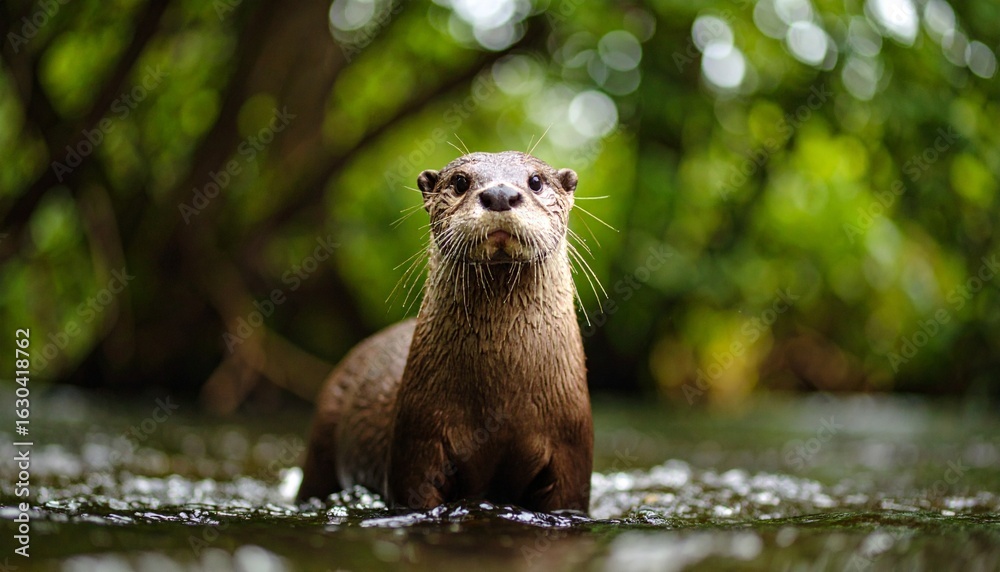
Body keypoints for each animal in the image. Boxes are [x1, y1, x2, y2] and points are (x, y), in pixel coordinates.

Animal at [297, 151, 592, 512]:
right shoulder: (417, 443)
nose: (500, 194)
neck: (503, 399)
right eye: (460, 181)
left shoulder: (571, 453)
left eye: (536, 181)